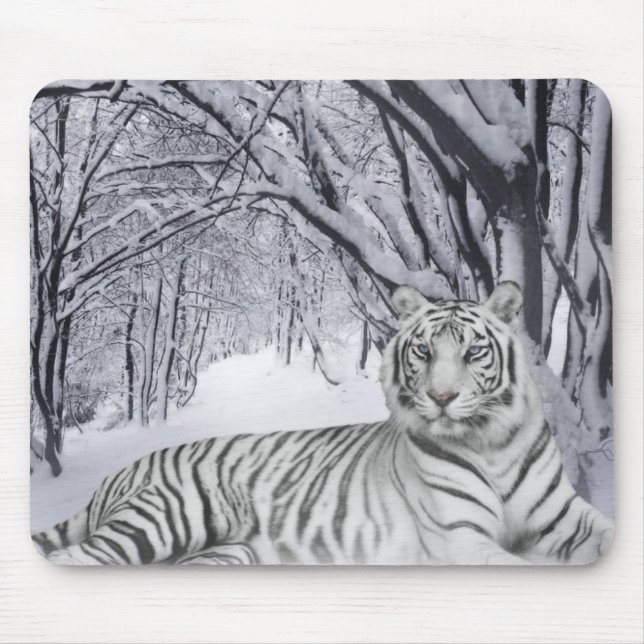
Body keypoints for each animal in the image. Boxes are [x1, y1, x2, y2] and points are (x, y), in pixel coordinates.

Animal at [32, 282, 614, 565]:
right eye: (423, 351)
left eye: (473, 352)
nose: (442, 398)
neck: (491, 442)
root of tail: (117, 474)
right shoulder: (460, 538)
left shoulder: (563, 518)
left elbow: (608, 535)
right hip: (160, 519)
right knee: (75, 557)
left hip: (226, 554)